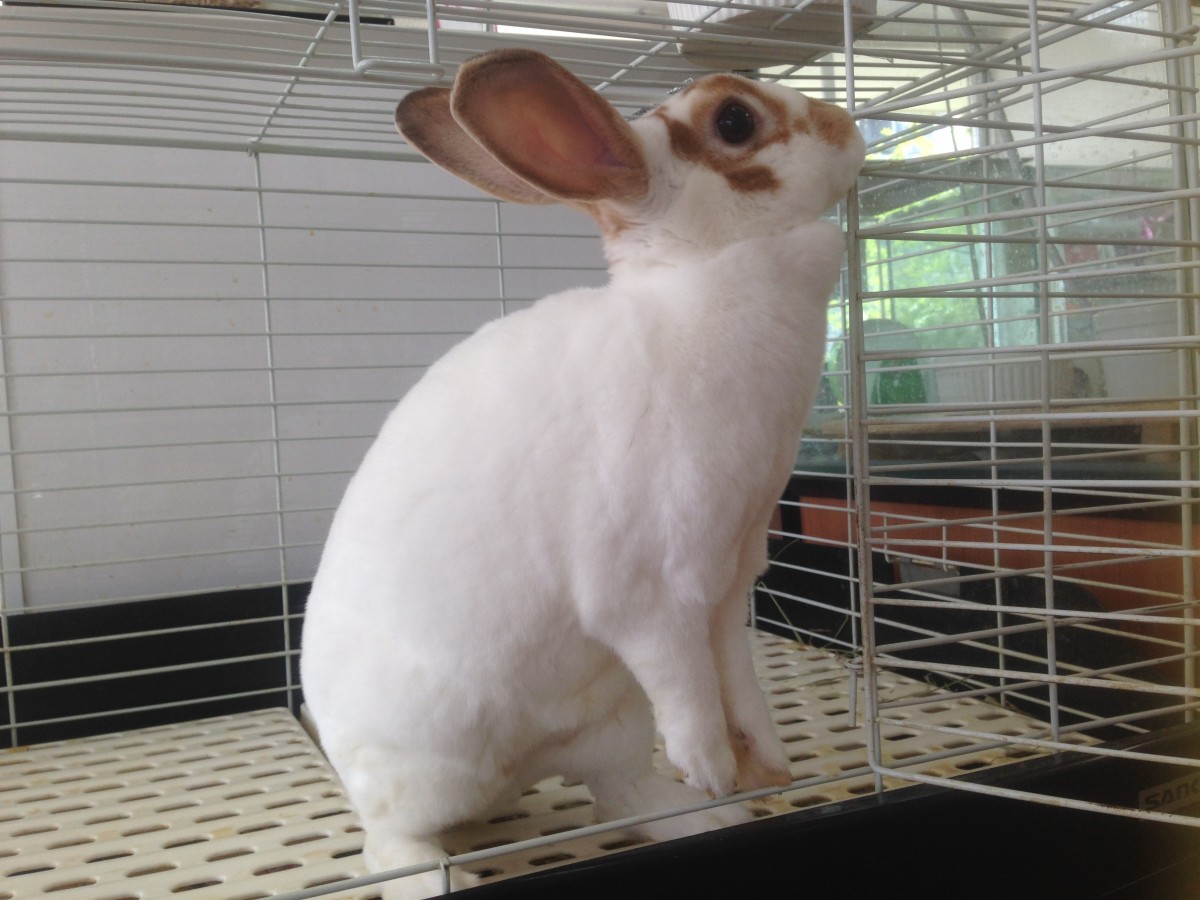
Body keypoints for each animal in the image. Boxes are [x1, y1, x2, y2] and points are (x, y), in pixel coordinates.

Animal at [300, 48, 865, 899]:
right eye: (734, 120)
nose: (851, 128)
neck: (699, 283)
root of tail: (514, 776)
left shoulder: (730, 583)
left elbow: (737, 677)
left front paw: (764, 766)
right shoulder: (652, 595)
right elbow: (690, 688)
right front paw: (711, 765)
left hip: (611, 724)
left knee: (619, 794)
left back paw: (708, 817)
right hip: (426, 771)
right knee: (387, 841)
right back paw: (437, 877)